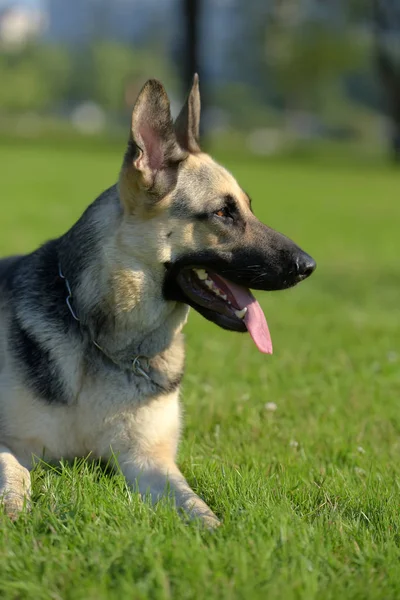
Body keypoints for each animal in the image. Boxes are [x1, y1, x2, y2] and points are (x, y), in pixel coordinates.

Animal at [0, 75, 316, 524]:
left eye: (248, 208)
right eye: (224, 213)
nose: (309, 266)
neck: (105, 343)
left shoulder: (150, 462)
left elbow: (197, 507)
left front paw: (213, 530)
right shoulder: (12, 445)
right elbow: (15, 474)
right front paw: (14, 508)